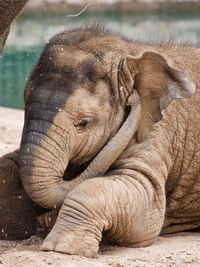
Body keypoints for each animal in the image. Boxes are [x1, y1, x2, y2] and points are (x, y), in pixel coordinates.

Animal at [0, 24, 200, 258]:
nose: (133, 100)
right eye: (24, 108)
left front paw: (62, 248)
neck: (130, 51)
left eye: (84, 122)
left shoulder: (157, 133)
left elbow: (144, 196)